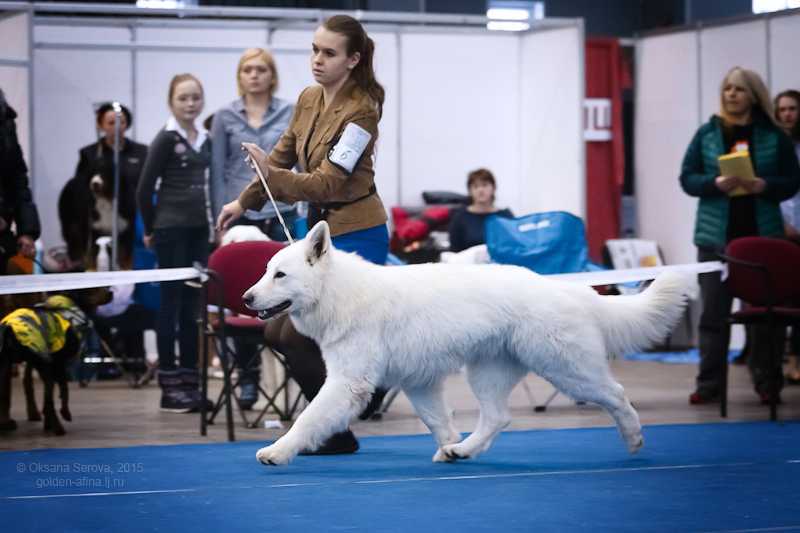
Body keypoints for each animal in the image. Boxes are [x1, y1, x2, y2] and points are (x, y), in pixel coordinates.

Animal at [244, 222, 688, 464]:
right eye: (265, 271)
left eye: (280, 275)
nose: (246, 299)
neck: (339, 291)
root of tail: (568, 288)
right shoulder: (418, 383)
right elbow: (439, 422)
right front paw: (449, 448)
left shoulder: (347, 384)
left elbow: (308, 418)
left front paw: (278, 451)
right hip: (488, 374)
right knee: (497, 418)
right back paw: (466, 451)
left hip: (566, 370)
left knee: (616, 394)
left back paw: (634, 438)